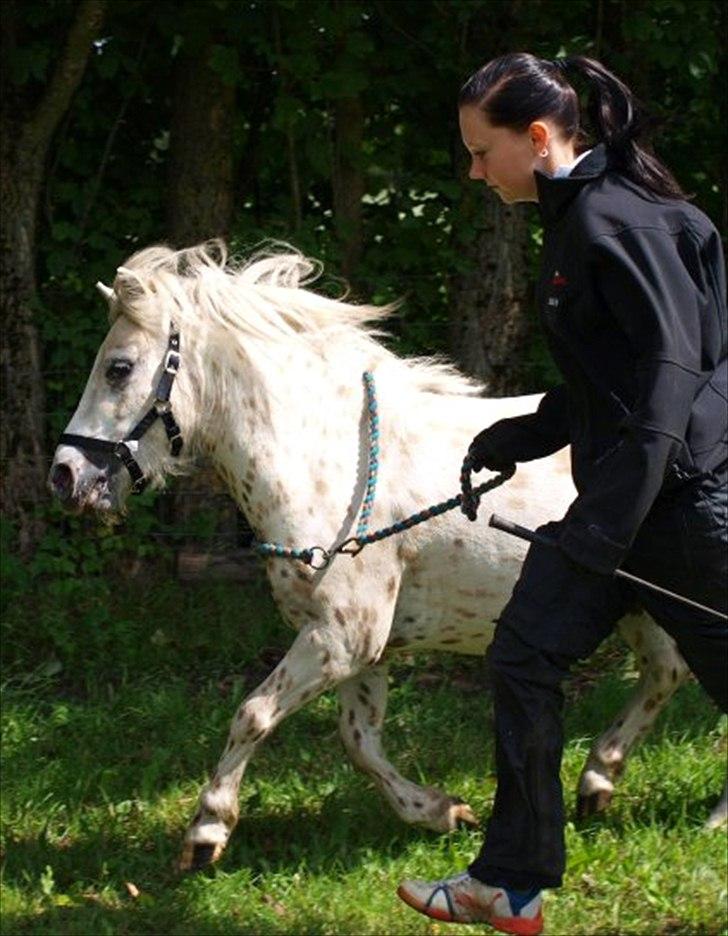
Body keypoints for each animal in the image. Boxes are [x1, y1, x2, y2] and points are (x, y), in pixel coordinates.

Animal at [48, 241, 725, 871]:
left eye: (118, 368)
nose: (65, 475)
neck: (330, 465)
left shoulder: (342, 639)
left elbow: (253, 714)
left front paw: (206, 833)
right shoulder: (359, 648)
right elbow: (359, 741)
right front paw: (441, 811)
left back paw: (707, 816)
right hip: (639, 606)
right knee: (666, 671)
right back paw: (597, 781)